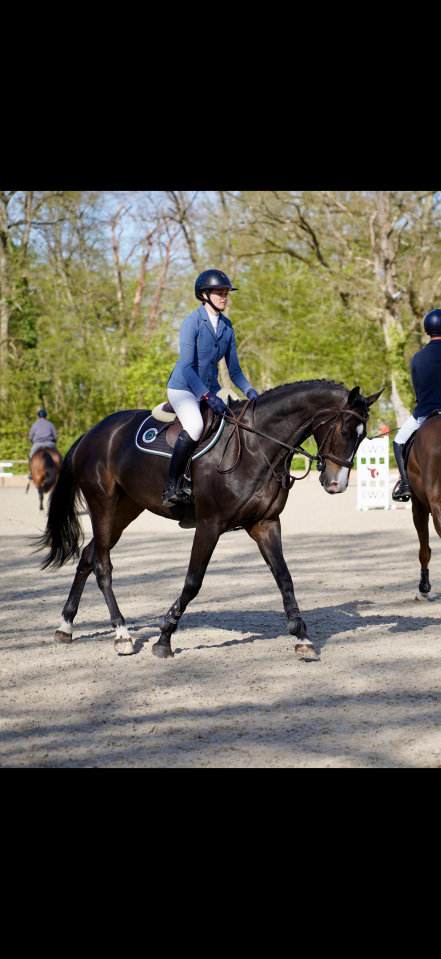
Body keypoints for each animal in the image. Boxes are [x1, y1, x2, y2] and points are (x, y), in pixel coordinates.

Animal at [37, 380, 381, 658]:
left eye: (363, 437)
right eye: (346, 431)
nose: (336, 484)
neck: (258, 445)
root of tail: (93, 432)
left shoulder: (266, 524)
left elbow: (284, 578)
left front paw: (303, 638)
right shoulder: (209, 525)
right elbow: (193, 582)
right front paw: (164, 637)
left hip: (125, 510)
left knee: (87, 556)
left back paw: (66, 626)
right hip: (102, 505)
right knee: (102, 565)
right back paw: (121, 634)